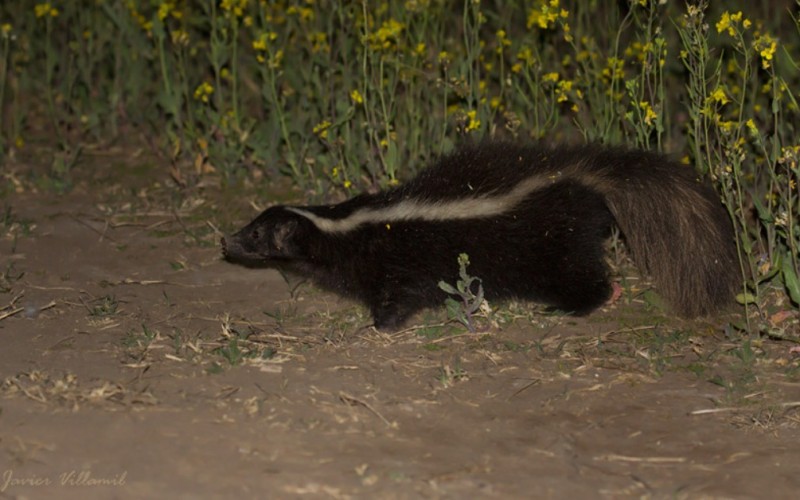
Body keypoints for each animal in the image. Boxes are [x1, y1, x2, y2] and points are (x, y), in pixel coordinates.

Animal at [222, 143, 740, 330]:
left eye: (256, 232)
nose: (226, 242)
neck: (346, 227)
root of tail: (583, 176)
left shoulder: (399, 262)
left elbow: (398, 296)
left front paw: (381, 325)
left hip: (553, 243)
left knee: (584, 277)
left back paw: (572, 307)